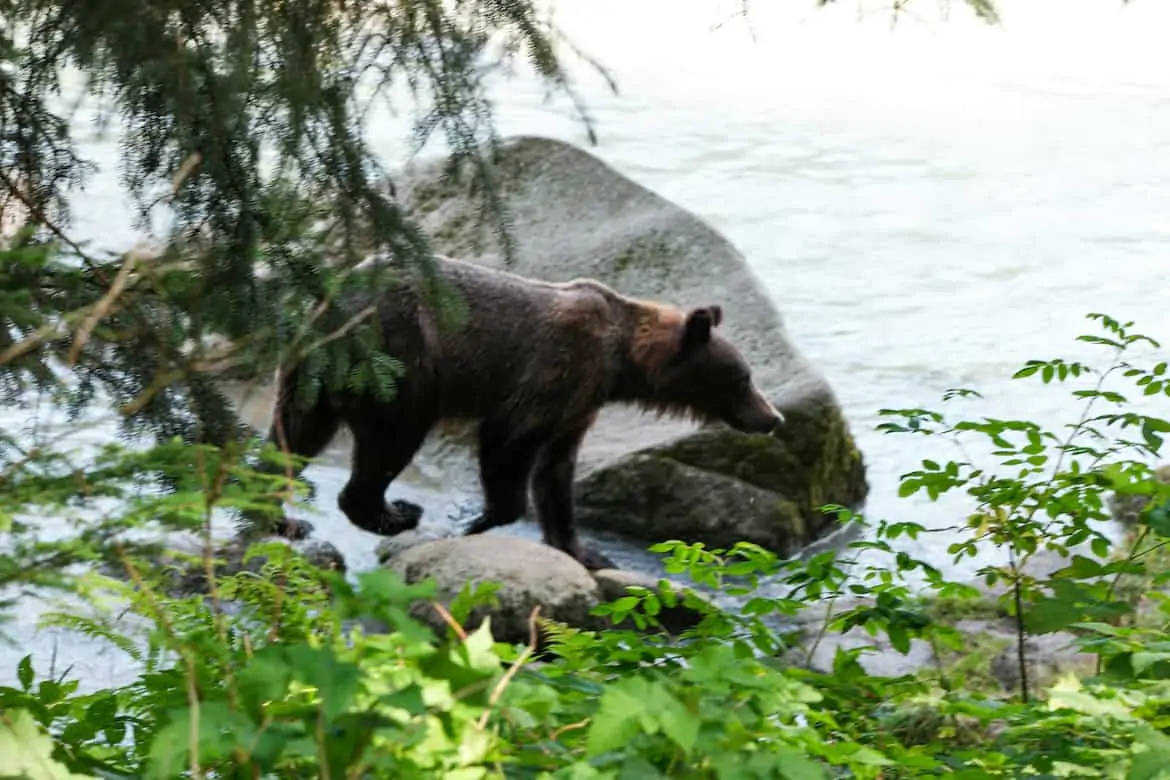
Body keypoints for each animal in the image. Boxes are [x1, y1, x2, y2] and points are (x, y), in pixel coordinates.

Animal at [260, 256, 781, 568]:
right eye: (743, 377)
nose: (774, 418)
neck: (620, 362)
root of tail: (333, 298)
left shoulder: (580, 405)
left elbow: (557, 473)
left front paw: (582, 549)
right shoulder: (555, 370)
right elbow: (509, 439)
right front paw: (478, 520)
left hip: (311, 374)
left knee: (293, 437)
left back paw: (280, 517)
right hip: (399, 361)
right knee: (391, 438)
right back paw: (394, 513)